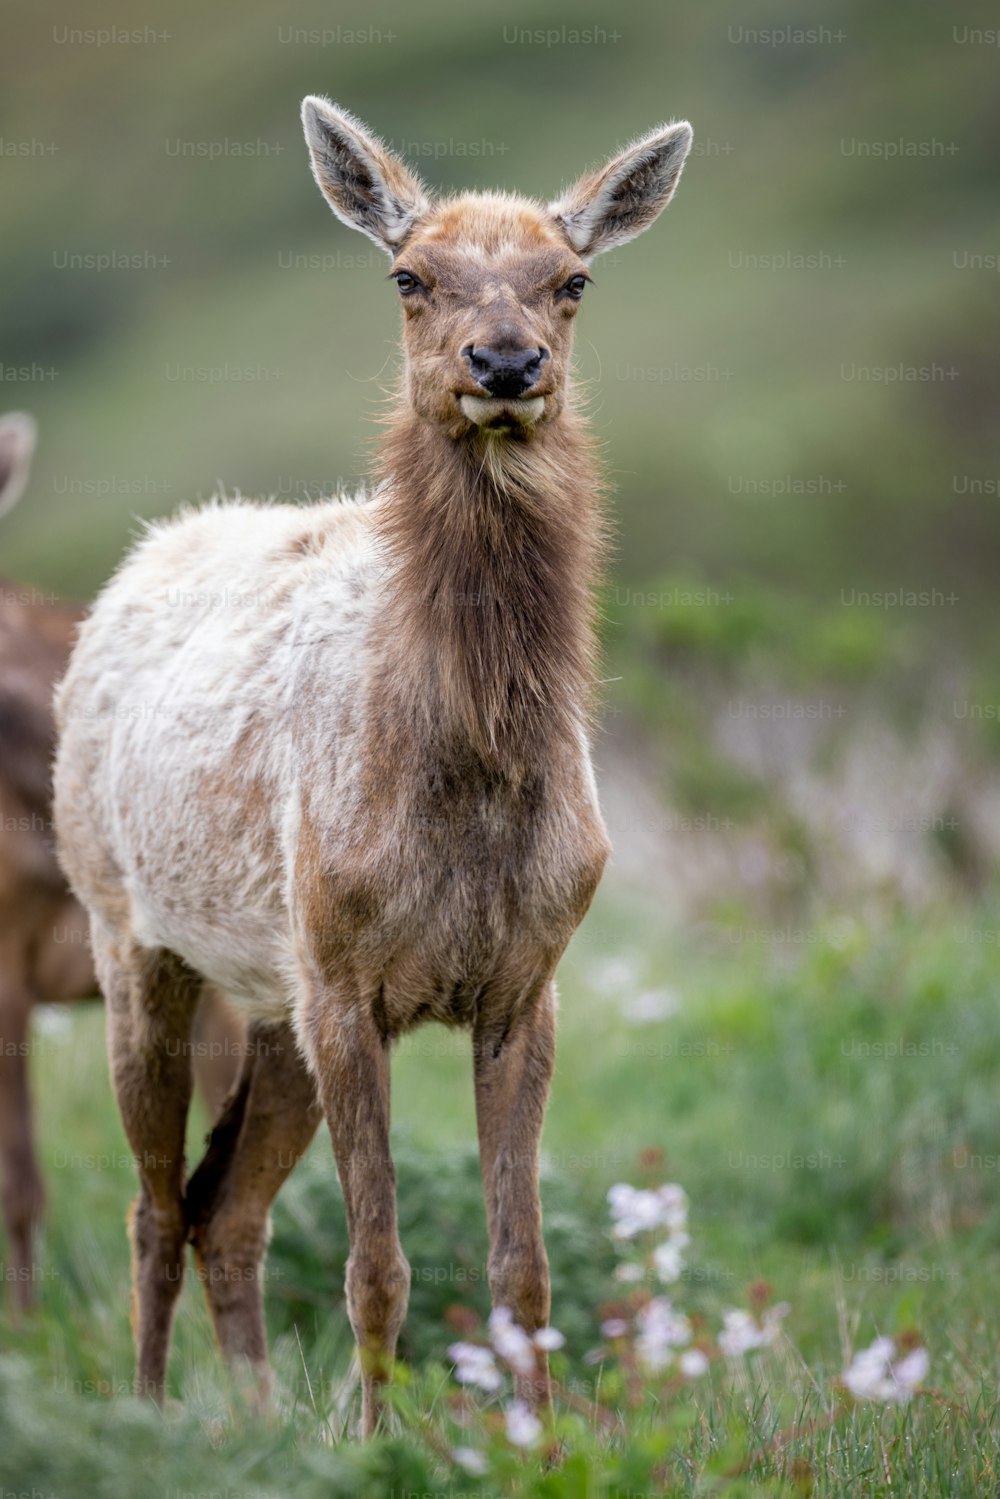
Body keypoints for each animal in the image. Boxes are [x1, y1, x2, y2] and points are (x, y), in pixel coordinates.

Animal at [52, 99, 695, 1433]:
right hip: (127, 931)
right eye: (409, 276)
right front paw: (372, 1437)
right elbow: (376, 1260)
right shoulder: (348, 985)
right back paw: (150, 1413)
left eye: (572, 281)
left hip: (272, 997)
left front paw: (531, 1435)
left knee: (225, 1210)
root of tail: (143, 554)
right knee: (152, 1204)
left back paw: (252, 1416)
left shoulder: (525, 981)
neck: (469, 779)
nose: (502, 365)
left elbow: (522, 1259)